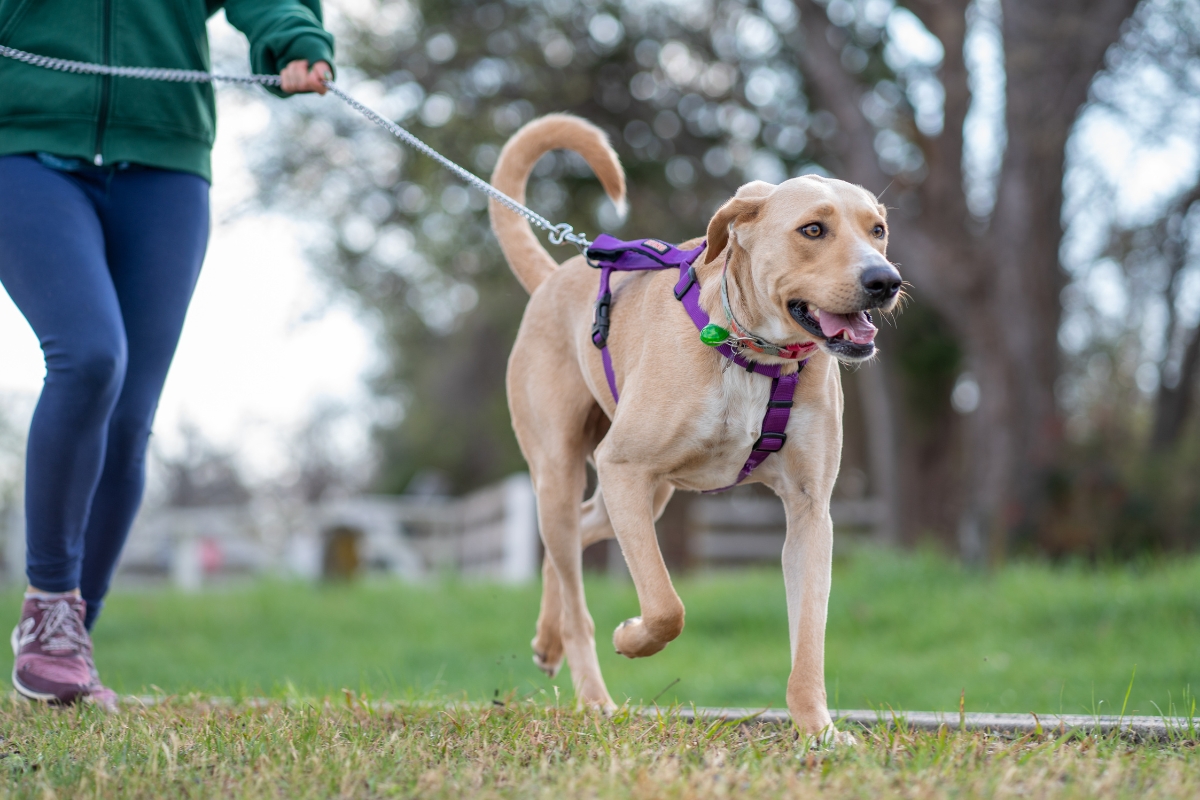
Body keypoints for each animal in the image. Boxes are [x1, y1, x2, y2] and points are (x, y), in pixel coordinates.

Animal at [487, 112, 902, 738]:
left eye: (876, 229)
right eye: (812, 230)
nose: (886, 280)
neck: (753, 354)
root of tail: (557, 276)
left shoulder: (810, 509)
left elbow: (809, 637)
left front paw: (817, 729)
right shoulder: (623, 467)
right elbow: (666, 607)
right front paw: (633, 639)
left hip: (643, 496)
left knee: (572, 542)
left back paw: (547, 638)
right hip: (566, 472)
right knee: (574, 581)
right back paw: (593, 695)